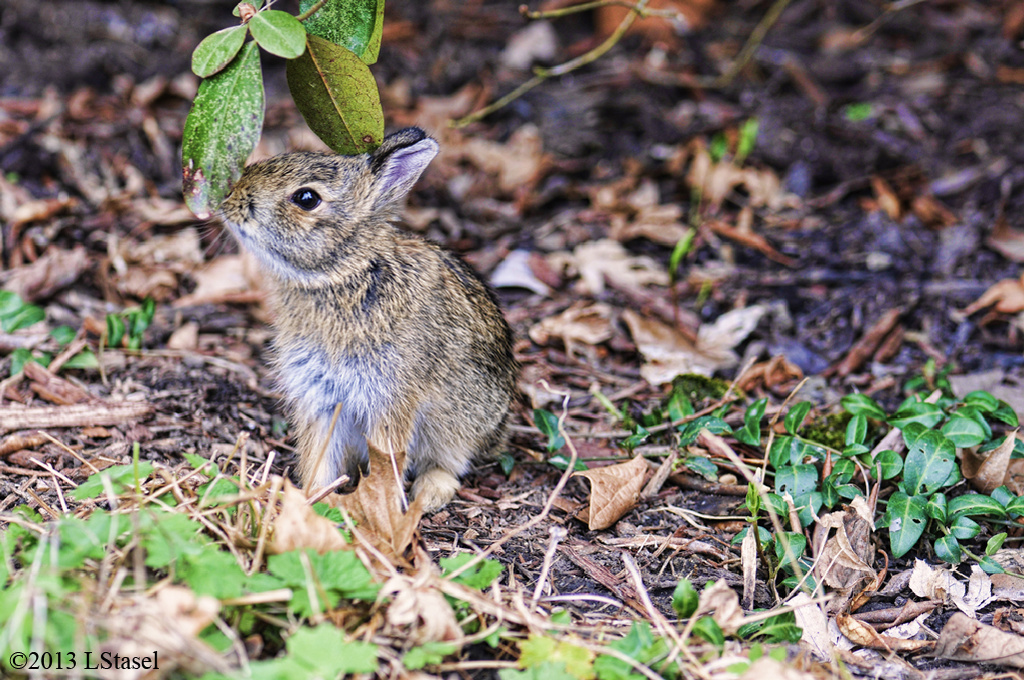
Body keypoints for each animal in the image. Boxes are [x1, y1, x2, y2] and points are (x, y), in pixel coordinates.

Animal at [219, 127, 516, 510]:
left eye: (306, 198)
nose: (229, 198)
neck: (345, 274)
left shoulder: (390, 396)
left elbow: (387, 458)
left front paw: (380, 508)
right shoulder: (320, 396)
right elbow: (318, 454)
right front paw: (313, 501)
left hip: (461, 422)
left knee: (450, 462)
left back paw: (429, 495)